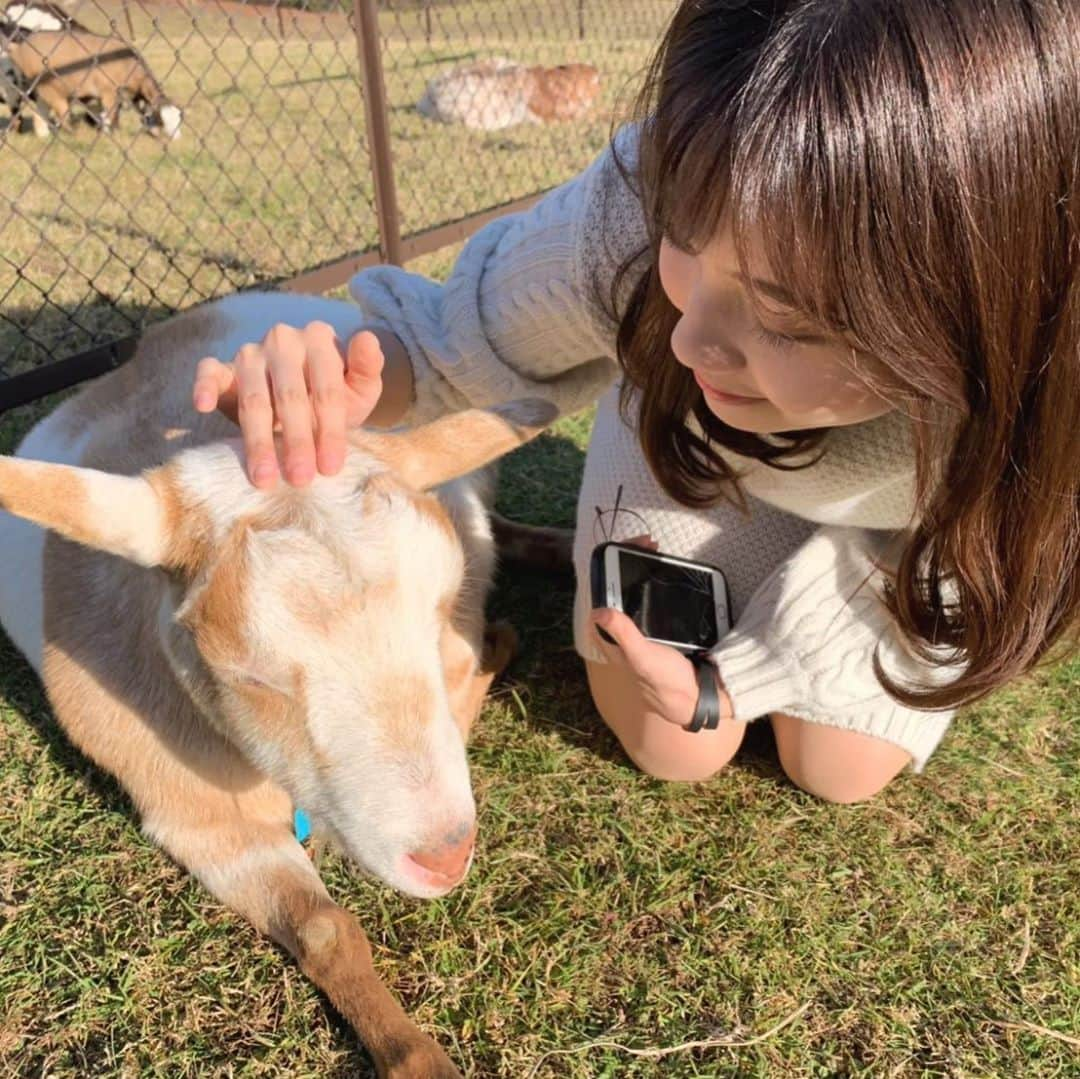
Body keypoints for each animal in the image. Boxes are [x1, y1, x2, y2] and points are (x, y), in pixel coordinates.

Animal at [0, 291, 557, 1075]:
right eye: (246, 674)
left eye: (438, 599)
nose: (445, 854)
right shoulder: (199, 821)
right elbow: (325, 929)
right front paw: (413, 1053)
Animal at [6, 25, 179, 137]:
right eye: (161, 119)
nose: (175, 139)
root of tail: (19, 49)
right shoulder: (108, 91)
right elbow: (110, 114)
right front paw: (111, 134)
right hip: (50, 89)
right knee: (61, 112)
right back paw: (72, 134)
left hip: (43, 91)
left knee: (40, 113)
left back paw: (44, 136)